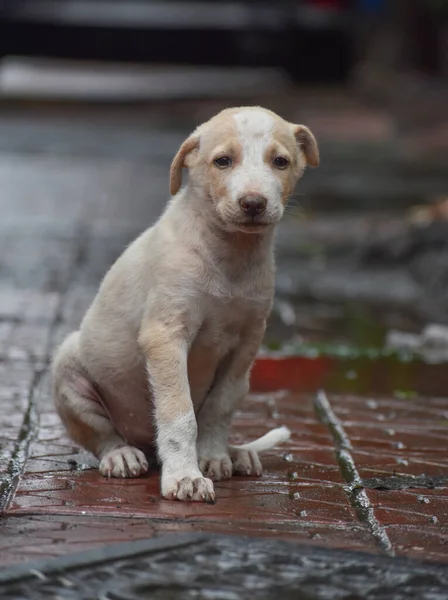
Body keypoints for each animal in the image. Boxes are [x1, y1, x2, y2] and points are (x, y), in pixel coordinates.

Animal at [52, 106, 318, 502]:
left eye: (280, 162)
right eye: (223, 161)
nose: (253, 203)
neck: (230, 255)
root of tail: (146, 446)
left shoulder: (246, 344)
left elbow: (218, 407)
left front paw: (212, 456)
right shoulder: (166, 335)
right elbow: (180, 413)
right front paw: (185, 477)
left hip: (246, 381)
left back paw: (238, 453)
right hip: (69, 371)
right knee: (102, 436)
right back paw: (121, 455)